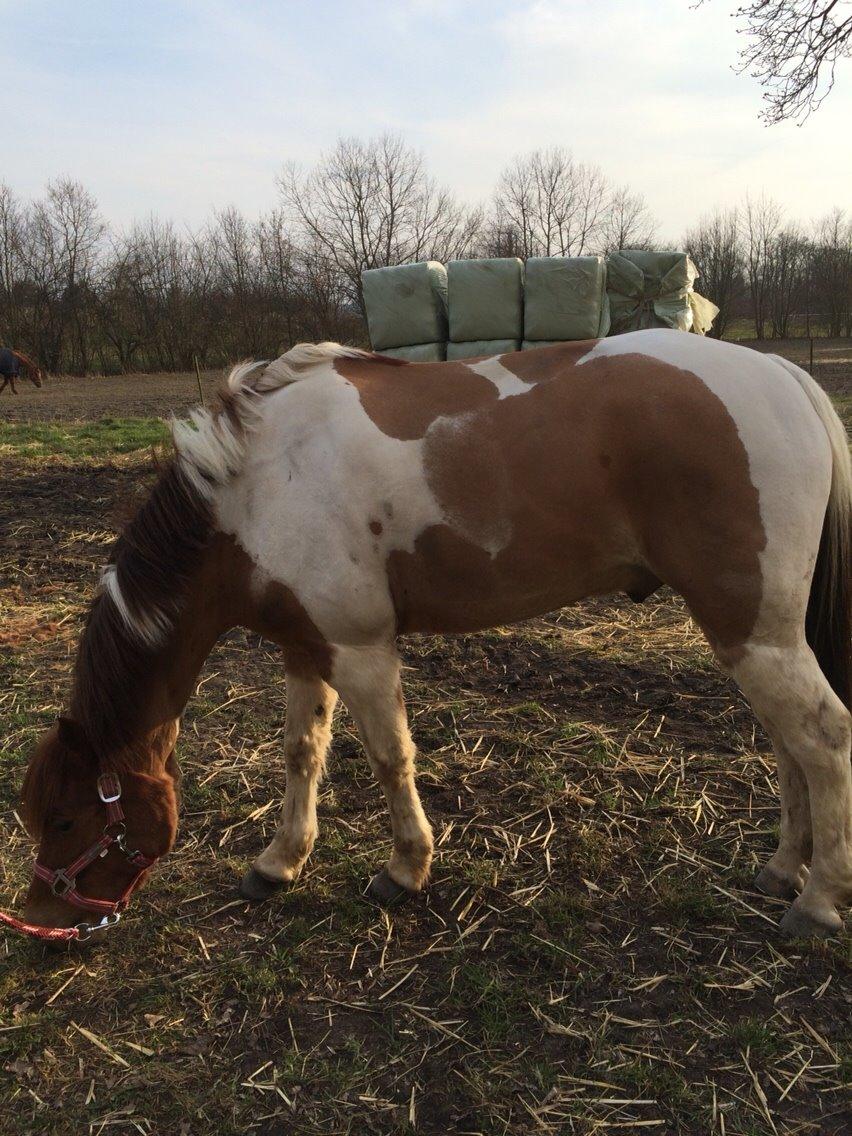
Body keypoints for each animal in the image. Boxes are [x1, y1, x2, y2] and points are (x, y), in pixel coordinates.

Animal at [6, 331, 852, 949]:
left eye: (68, 819)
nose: (40, 923)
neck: (254, 487)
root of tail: (783, 374)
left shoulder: (361, 648)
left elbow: (391, 758)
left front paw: (404, 869)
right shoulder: (305, 647)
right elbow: (301, 755)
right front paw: (279, 862)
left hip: (752, 631)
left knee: (822, 736)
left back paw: (816, 903)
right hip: (756, 635)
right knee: (787, 745)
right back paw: (782, 869)